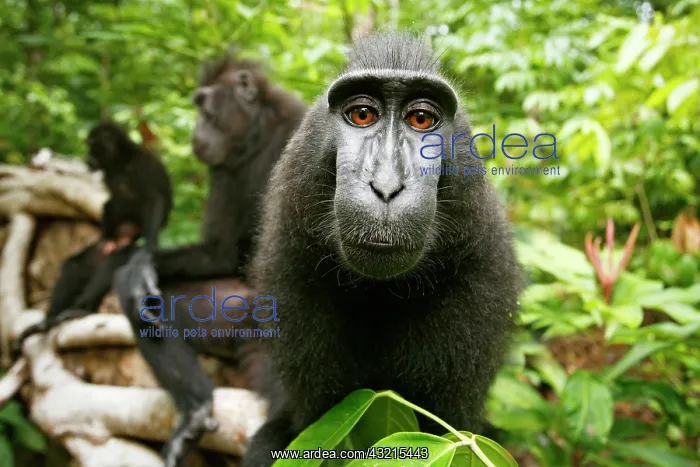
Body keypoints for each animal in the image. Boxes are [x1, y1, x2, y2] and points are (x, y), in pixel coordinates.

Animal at [13, 121, 173, 355]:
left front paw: (150, 247)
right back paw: (48, 321)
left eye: (91, 145)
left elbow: (154, 200)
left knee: (114, 258)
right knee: (75, 264)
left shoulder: (143, 164)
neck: (120, 163)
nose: (87, 156)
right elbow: (107, 203)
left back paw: (82, 310)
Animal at [113, 56, 307, 466]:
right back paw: (195, 411)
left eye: (204, 107)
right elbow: (219, 251)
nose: (195, 132)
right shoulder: (223, 169)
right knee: (148, 306)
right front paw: (139, 268)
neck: (259, 137)